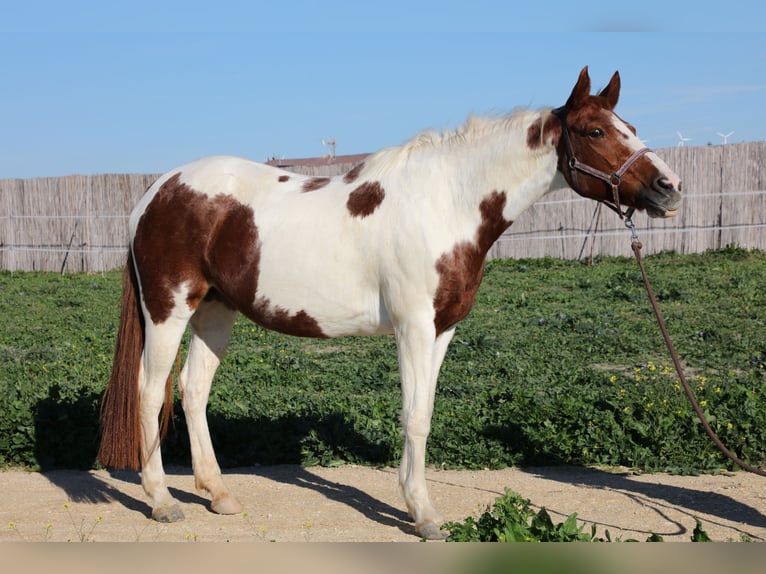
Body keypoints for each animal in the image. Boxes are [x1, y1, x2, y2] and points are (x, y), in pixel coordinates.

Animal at [97, 66, 684, 540]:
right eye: (596, 131)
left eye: (630, 127)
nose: (670, 188)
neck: (446, 203)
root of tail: (156, 191)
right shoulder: (414, 328)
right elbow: (414, 416)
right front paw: (423, 515)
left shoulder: (443, 330)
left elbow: (424, 411)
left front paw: (416, 504)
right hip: (169, 308)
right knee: (150, 390)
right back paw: (161, 500)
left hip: (216, 311)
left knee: (193, 391)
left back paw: (219, 495)